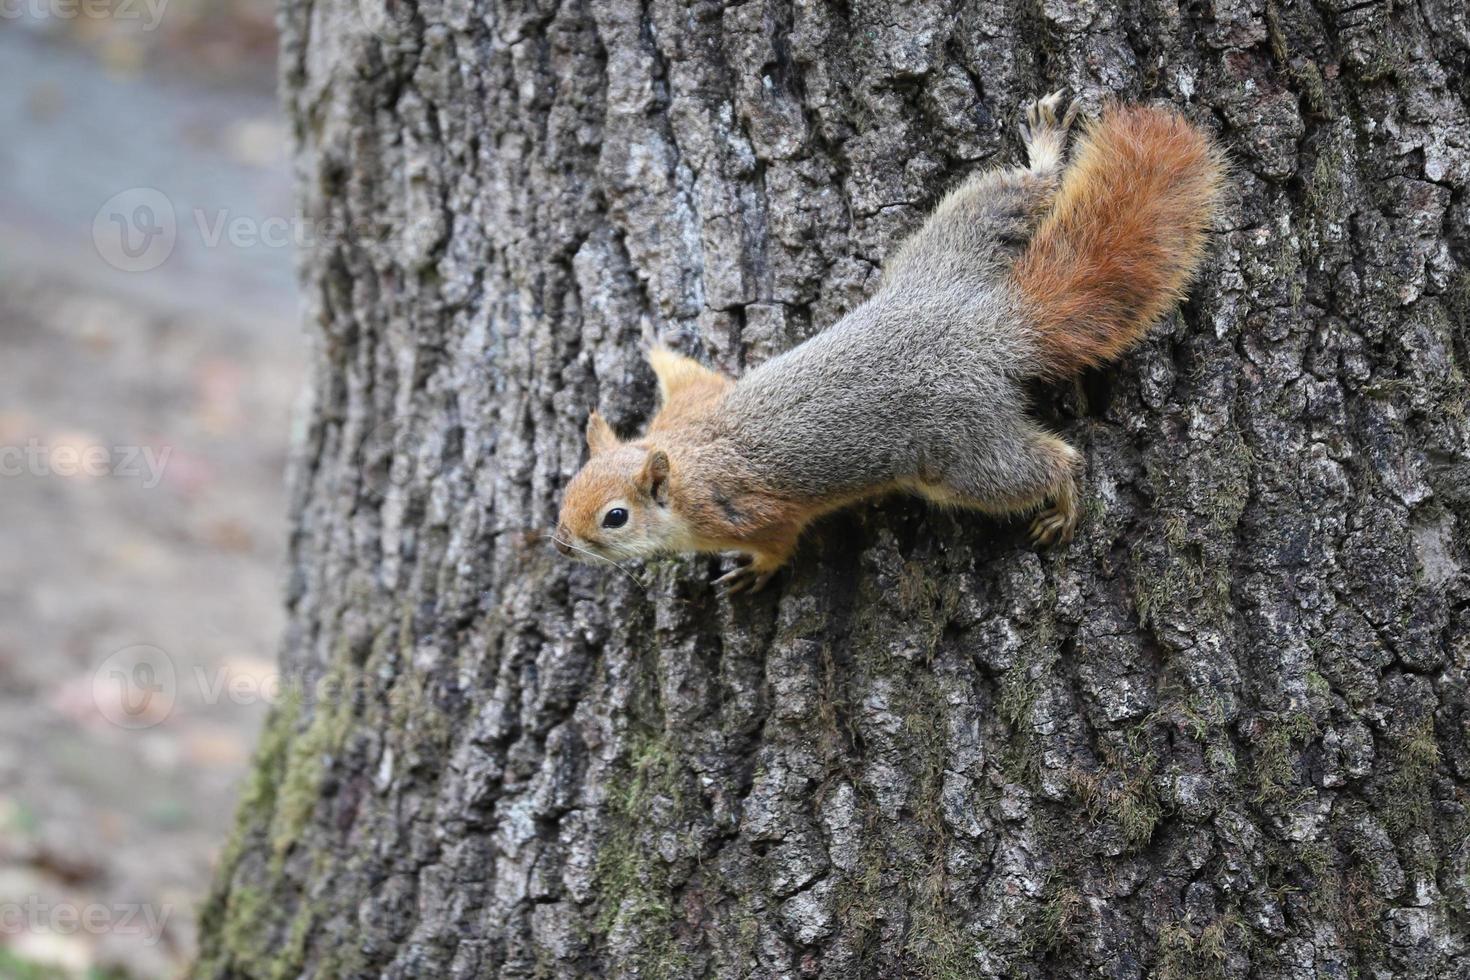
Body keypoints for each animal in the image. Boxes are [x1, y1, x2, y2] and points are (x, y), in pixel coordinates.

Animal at [555, 94, 1223, 590]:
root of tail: (994, 327)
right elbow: (687, 369)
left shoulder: (751, 511)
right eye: (568, 488)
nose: (561, 545)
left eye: (615, 518)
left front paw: (754, 571)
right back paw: (1043, 151)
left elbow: (779, 542)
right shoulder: (691, 400)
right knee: (1015, 189)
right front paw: (649, 336)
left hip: (961, 451)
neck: (681, 454)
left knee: (1045, 465)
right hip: (951, 241)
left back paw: (1063, 501)